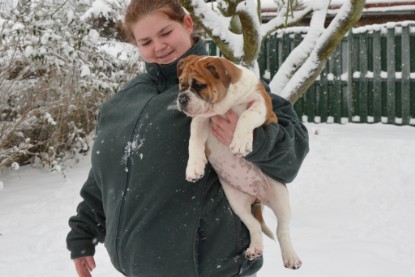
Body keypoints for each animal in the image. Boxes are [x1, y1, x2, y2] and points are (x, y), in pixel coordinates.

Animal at [176, 54, 302, 268]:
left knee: (282, 229)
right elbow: (194, 141)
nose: (182, 98)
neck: (225, 104)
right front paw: (194, 168)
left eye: (199, 85)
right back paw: (254, 249)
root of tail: (257, 198)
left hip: (280, 196)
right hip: (236, 202)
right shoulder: (200, 120)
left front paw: (241, 142)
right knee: (254, 225)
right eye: (181, 85)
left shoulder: (261, 102)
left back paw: (291, 257)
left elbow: (246, 115)